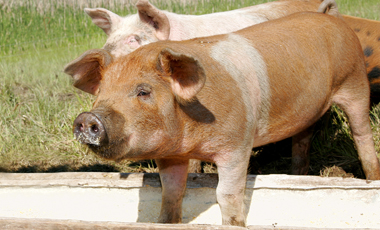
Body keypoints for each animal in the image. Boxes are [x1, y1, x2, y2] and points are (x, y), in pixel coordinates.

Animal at [70, 13, 378, 226]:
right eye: (100, 93)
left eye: (143, 91)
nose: (87, 118)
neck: (191, 138)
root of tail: (335, 20)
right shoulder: (170, 155)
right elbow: (171, 193)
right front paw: (165, 223)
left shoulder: (237, 144)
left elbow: (227, 195)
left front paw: (233, 223)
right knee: (302, 140)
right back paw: (297, 176)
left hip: (355, 82)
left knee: (362, 135)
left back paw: (371, 179)